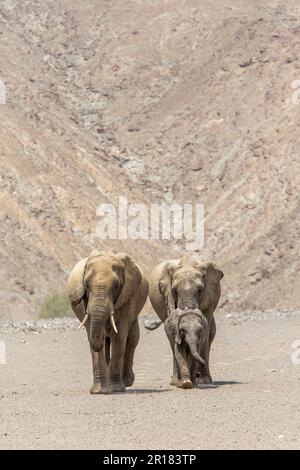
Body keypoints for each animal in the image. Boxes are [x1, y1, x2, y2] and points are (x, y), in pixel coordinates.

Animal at [67, 252, 148, 394]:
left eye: (116, 286)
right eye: (86, 285)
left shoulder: (127, 297)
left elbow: (119, 336)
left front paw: (116, 389)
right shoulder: (86, 302)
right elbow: (92, 335)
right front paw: (99, 391)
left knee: (132, 338)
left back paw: (126, 382)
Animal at [149, 258, 224, 386]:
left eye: (200, 290)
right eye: (174, 291)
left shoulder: (210, 297)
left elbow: (206, 330)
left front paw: (203, 381)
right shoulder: (167, 296)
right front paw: (180, 382)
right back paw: (176, 381)